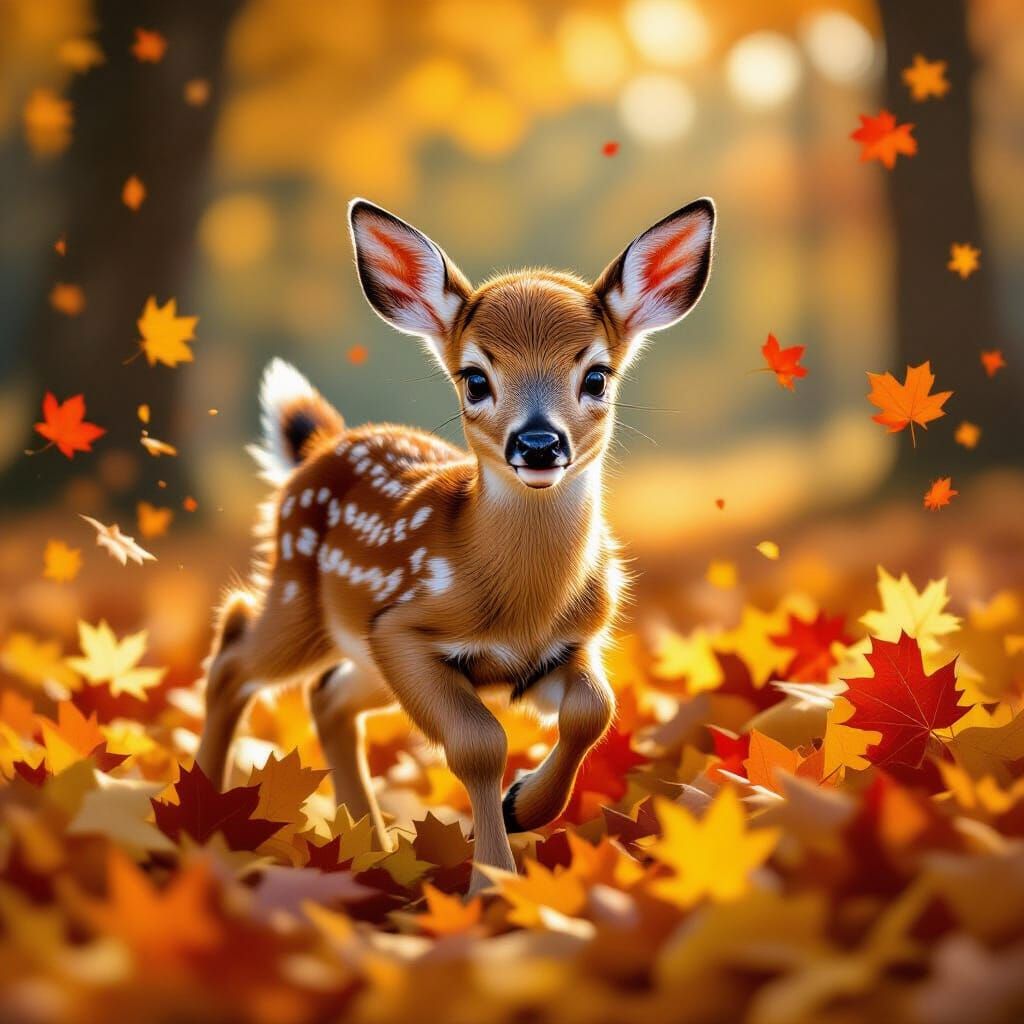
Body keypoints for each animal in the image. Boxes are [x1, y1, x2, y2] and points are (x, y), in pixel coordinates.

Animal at [196, 196, 715, 891]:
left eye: (597, 377)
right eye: (475, 379)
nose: (538, 444)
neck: (520, 608)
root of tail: (318, 447)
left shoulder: (569, 643)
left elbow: (595, 709)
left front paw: (524, 806)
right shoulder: (401, 629)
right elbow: (478, 744)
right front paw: (493, 884)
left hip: (361, 654)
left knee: (326, 696)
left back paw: (375, 847)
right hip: (304, 606)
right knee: (235, 647)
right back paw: (202, 817)